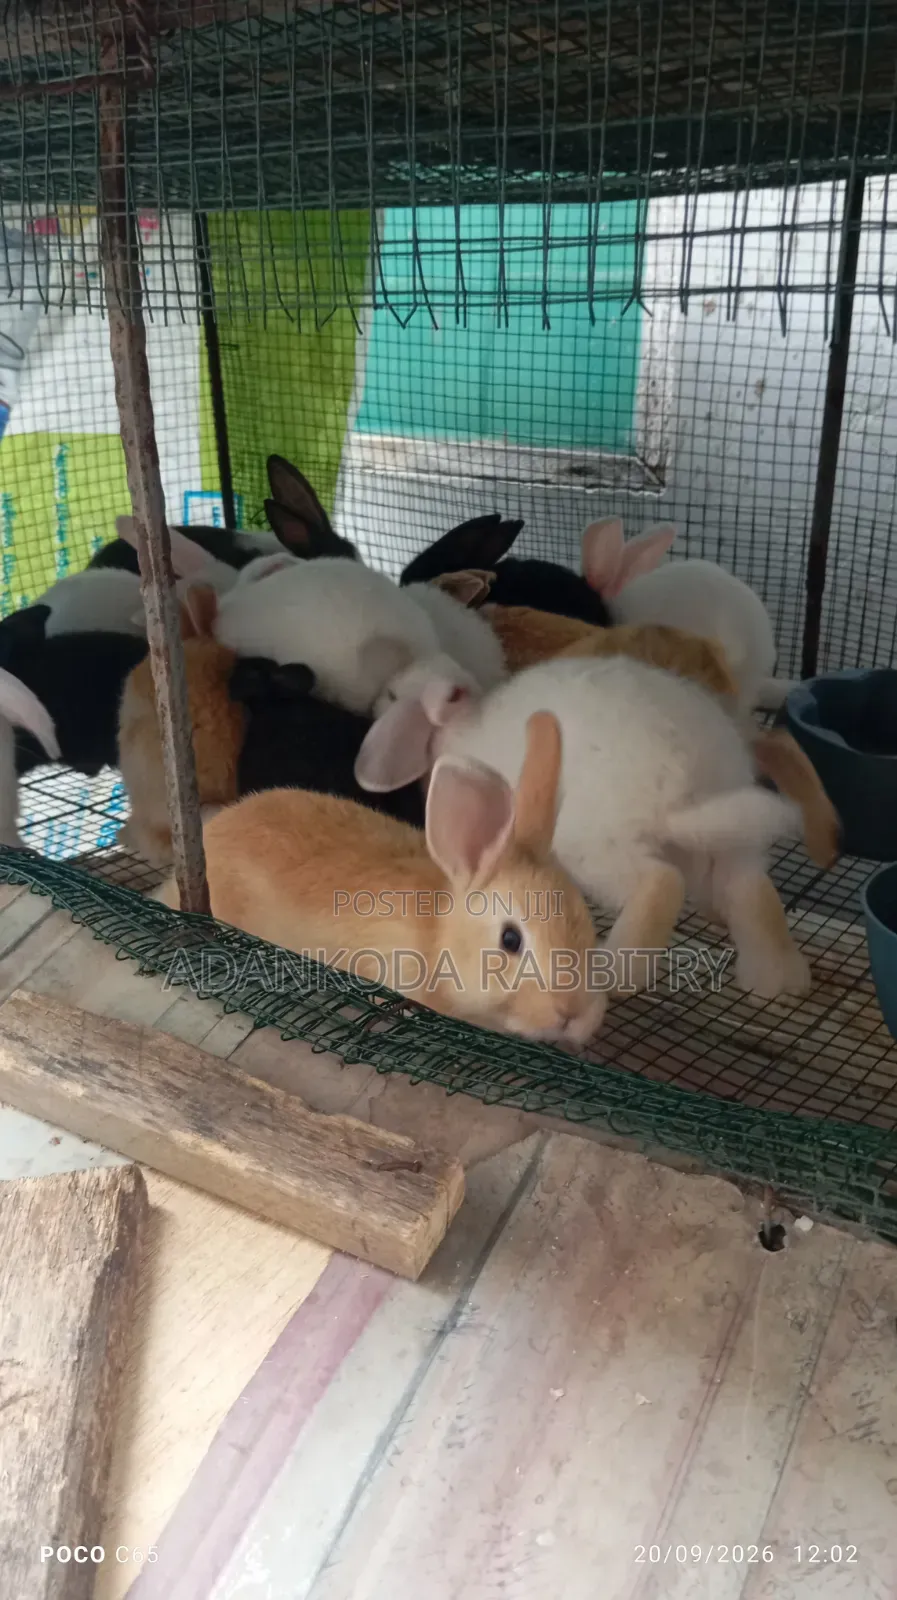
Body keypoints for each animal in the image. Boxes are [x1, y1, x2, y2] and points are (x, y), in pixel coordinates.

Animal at [357, 654, 811, 1003]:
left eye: (394, 695)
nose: (378, 696)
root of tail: (689, 790)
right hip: (729, 843)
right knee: (750, 890)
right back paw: (778, 979)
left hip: (599, 849)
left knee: (662, 883)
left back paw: (615, 975)